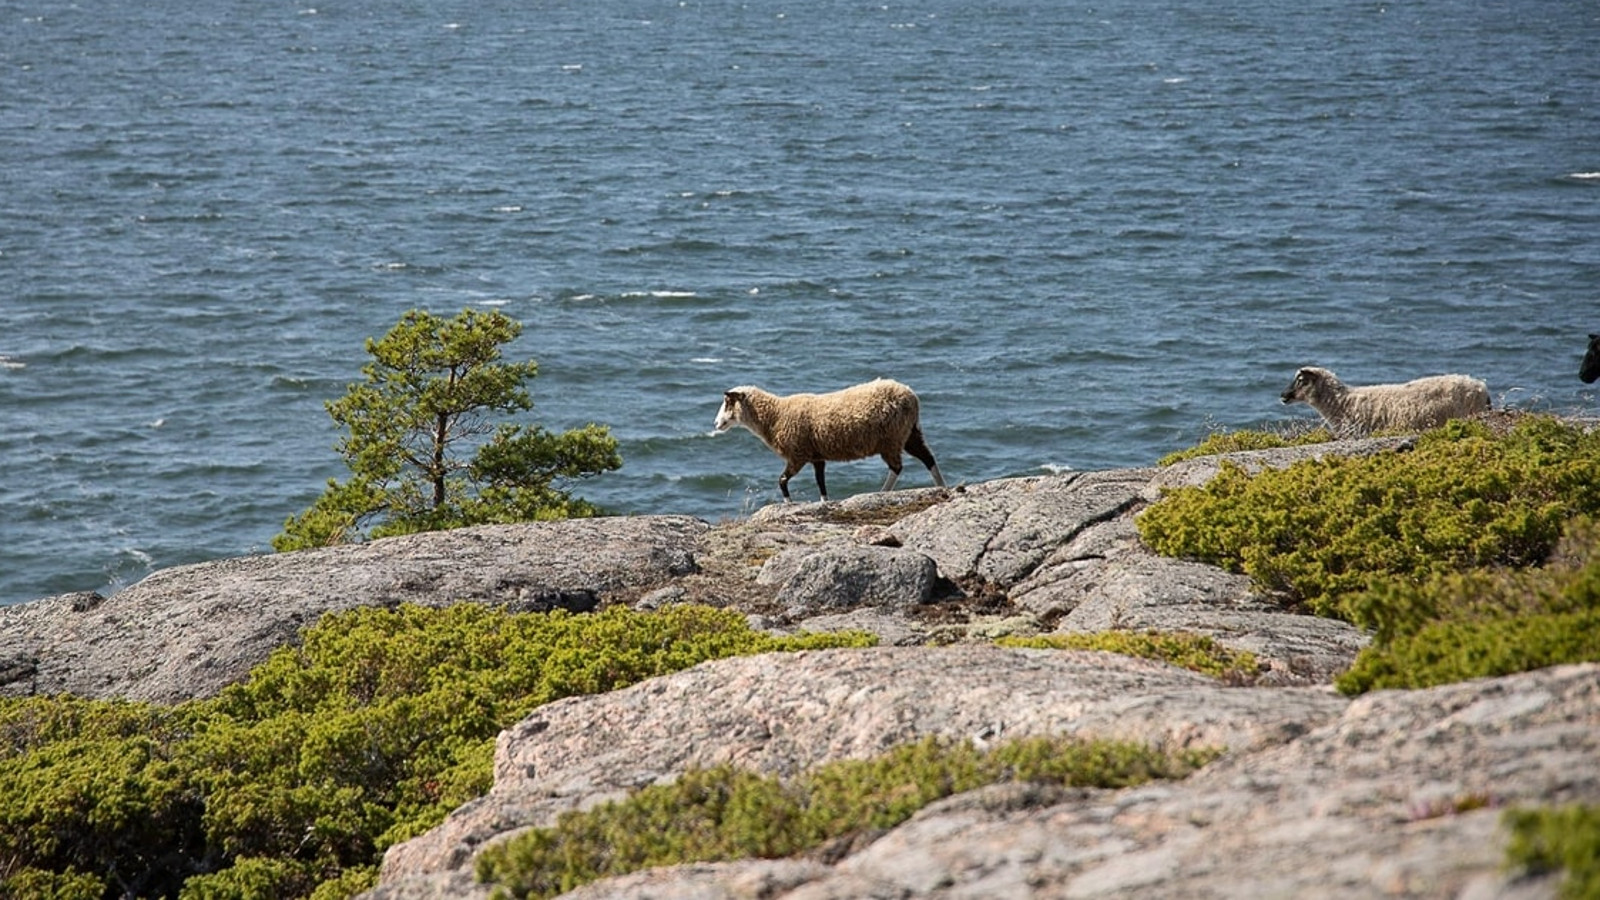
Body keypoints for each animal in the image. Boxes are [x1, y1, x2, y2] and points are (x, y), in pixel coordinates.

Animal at [716, 376, 947, 499]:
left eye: (728, 403)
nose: (716, 424)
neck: (775, 416)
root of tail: (912, 396)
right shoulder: (817, 456)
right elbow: (821, 482)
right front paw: (825, 502)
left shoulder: (797, 456)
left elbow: (782, 480)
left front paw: (788, 502)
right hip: (908, 433)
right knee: (928, 458)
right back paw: (942, 487)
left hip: (891, 438)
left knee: (897, 467)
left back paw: (882, 492)